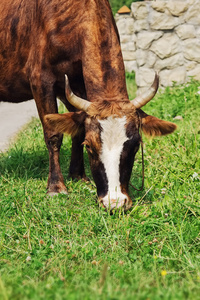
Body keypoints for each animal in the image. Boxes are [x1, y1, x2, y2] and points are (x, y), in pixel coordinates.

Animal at [0, 0, 176, 211]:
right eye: (90, 147)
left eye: (135, 146)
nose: (115, 202)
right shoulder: (40, 80)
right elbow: (53, 135)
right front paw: (56, 187)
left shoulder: (77, 86)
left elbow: (77, 130)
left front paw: (78, 175)